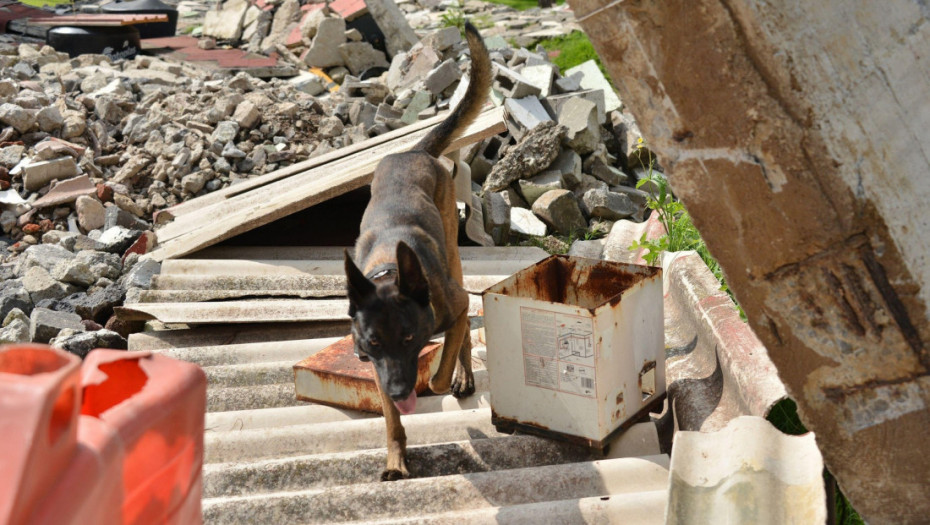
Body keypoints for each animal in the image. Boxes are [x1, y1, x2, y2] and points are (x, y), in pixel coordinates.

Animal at [344, 21, 492, 478]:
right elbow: (392, 421)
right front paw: (396, 458)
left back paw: (463, 374)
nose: (398, 389)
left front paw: (445, 375)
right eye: (373, 343)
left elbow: (442, 366)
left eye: (409, 337)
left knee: (463, 337)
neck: (391, 273)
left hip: (454, 255)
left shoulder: (455, 308)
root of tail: (413, 151)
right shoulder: (376, 368)